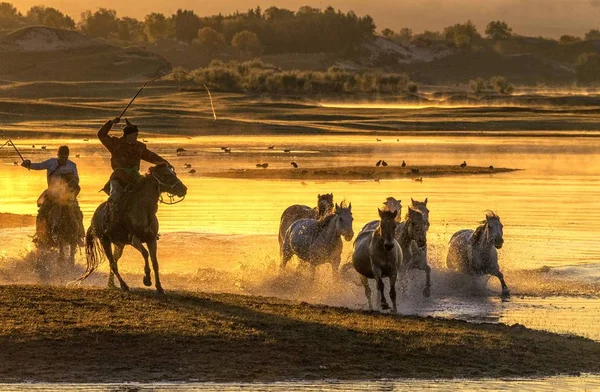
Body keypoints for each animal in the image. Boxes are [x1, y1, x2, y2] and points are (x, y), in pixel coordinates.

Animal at [76, 163, 186, 294]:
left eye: (173, 173)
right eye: (165, 175)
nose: (184, 189)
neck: (144, 209)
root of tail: (94, 217)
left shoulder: (151, 239)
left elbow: (155, 262)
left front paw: (159, 287)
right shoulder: (134, 239)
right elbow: (145, 253)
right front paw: (147, 279)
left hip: (119, 244)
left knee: (114, 261)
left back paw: (112, 284)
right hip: (105, 241)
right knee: (112, 263)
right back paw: (124, 285)